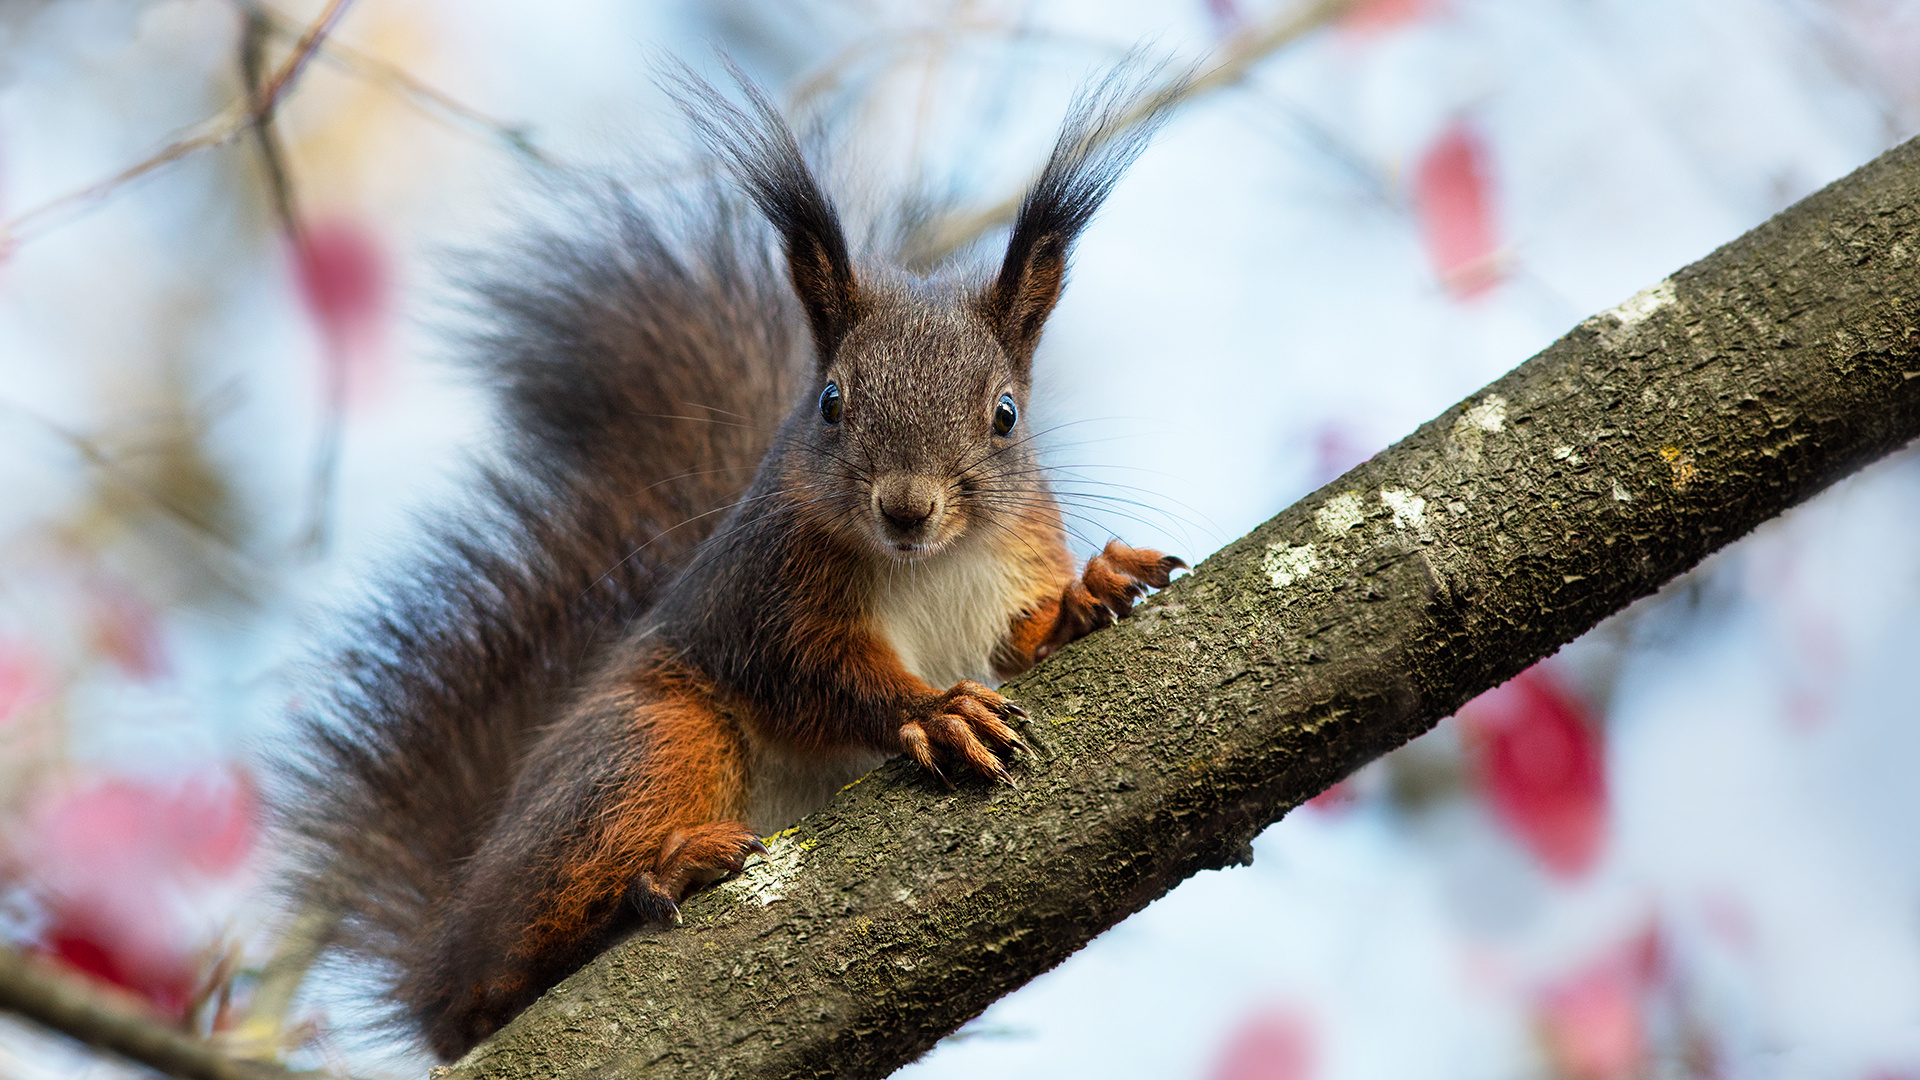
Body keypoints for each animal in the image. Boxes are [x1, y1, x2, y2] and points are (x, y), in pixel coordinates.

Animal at [282, 62, 1182, 1053]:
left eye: (1007, 415)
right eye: (832, 402)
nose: (906, 508)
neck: (927, 564)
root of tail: (442, 947)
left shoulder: (1013, 559)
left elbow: (1024, 638)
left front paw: (1091, 589)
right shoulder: (766, 596)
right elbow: (815, 675)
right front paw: (935, 711)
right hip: (649, 743)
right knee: (506, 968)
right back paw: (661, 872)